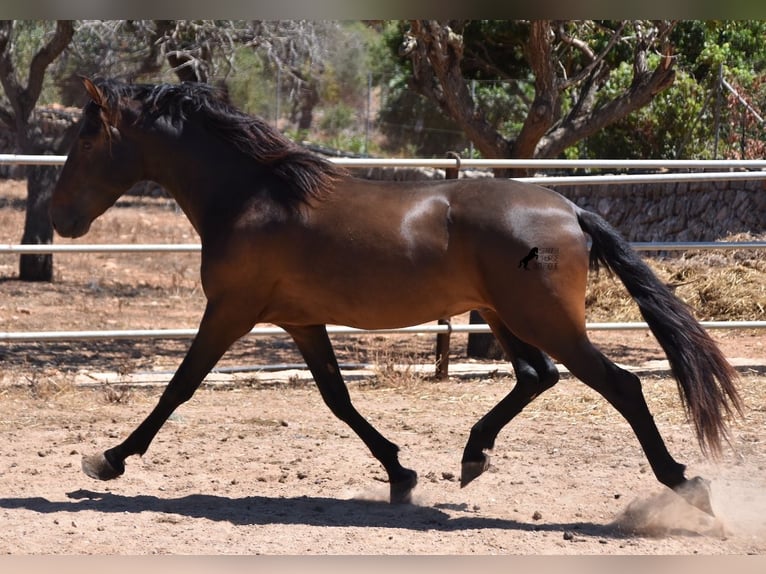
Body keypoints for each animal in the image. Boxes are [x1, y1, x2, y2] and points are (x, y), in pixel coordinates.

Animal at [49, 76, 744, 516]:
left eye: (84, 140)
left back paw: (687, 487)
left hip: (545, 319)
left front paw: (108, 460)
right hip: (505, 315)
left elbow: (178, 387)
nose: (60, 219)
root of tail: (570, 209)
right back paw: (472, 458)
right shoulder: (299, 321)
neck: (253, 196)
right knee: (536, 375)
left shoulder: (231, 311)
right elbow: (337, 398)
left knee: (618, 384)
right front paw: (402, 476)